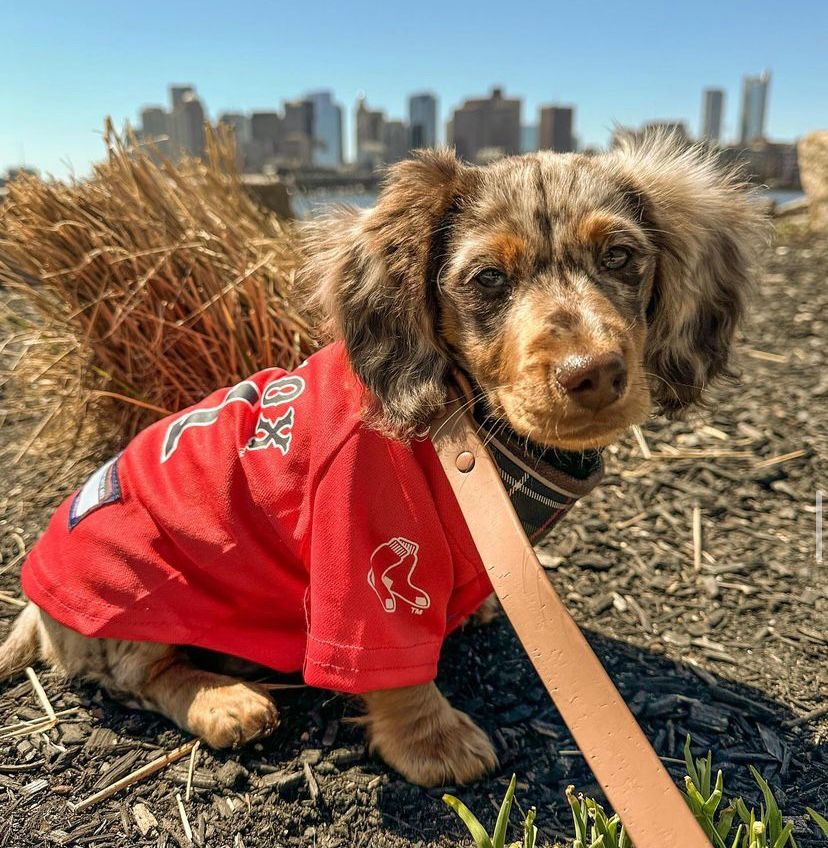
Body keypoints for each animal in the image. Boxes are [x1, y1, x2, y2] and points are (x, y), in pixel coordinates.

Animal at [0, 134, 764, 788]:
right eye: (488, 277)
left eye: (621, 258)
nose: (594, 373)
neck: (470, 427)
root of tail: (35, 602)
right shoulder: (362, 547)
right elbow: (396, 670)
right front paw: (435, 743)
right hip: (131, 586)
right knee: (143, 675)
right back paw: (225, 702)